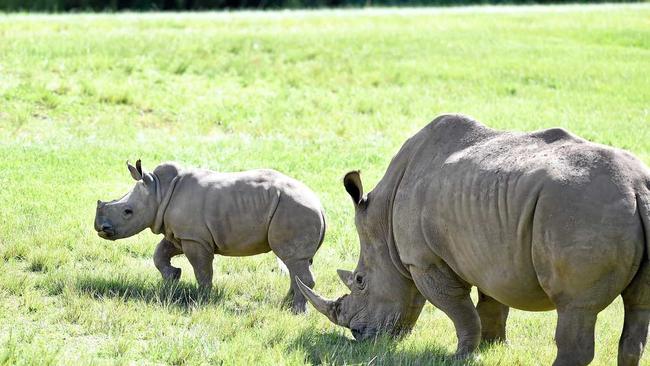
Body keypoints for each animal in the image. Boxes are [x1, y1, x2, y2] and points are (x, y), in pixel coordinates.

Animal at [95, 160, 324, 312]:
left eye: (128, 212)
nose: (100, 229)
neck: (159, 191)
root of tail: (320, 206)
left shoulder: (195, 238)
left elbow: (202, 270)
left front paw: (203, 299)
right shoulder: (180, 234)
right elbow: (160, 253)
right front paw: (173, 277)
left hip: (295, 210)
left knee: (294, 261)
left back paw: (296, 312)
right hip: (294, 210)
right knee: (295, 264)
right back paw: (284, 306)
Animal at [296, 115, 644, 366]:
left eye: (360, 281)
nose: (359, 336)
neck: (383, 226)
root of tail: (636, 185)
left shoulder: (424, 261)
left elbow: (459, 309)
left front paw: (462, 356)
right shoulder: (494, 256)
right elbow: (492, 304)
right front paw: (494, 347)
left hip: (578, 211)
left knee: (575, 307)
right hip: (603, 207)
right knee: (639, 305)